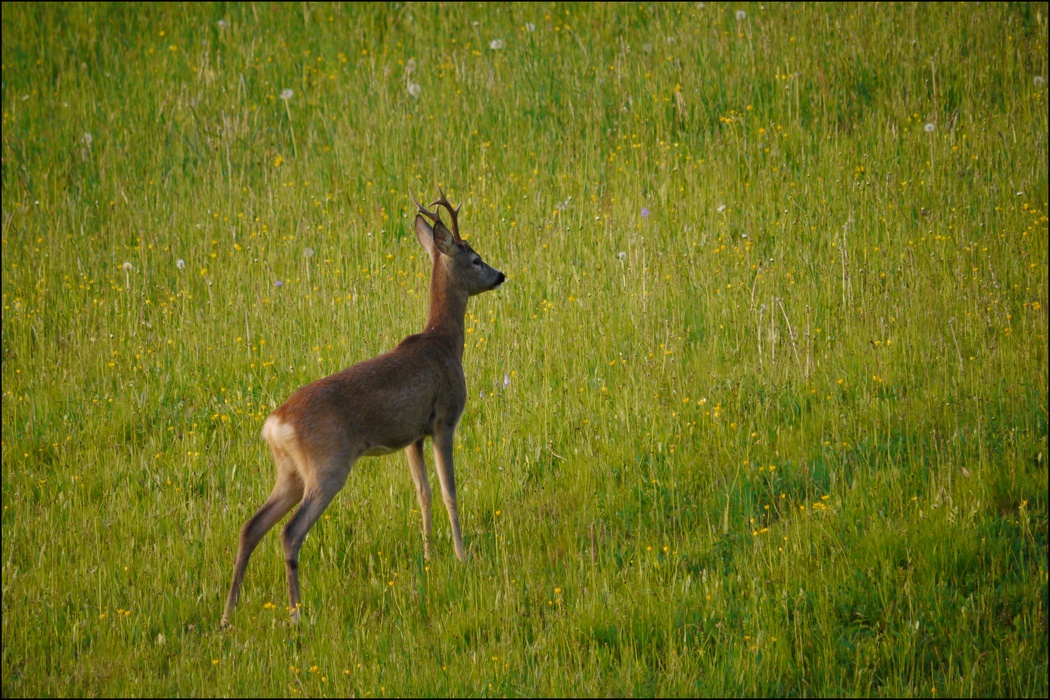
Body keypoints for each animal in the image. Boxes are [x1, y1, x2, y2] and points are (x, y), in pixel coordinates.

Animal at [219, 187, 506, 629]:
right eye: (475, 258)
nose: (500, 275)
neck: (444, 342)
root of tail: (275, 425)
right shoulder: (444, 420)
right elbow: (448, 492)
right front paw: (462, 556)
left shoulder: (412, 436)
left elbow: (422, 493)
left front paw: (428, 556)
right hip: (328, 465)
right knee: (290, 532)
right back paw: (296, 614)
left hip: (289, 471)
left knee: (251, 526)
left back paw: (228, 614)